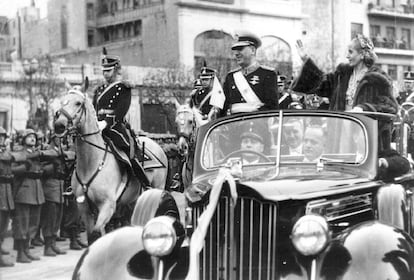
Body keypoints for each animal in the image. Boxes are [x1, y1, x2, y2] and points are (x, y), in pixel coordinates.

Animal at [54, 85, 167, 245]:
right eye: (62, 101)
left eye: (78, 103)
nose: (59, 125)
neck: (91, 163)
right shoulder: (84, 207)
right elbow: (92, 236)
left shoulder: (107, 205)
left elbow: (97, 234)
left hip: (157, 188)